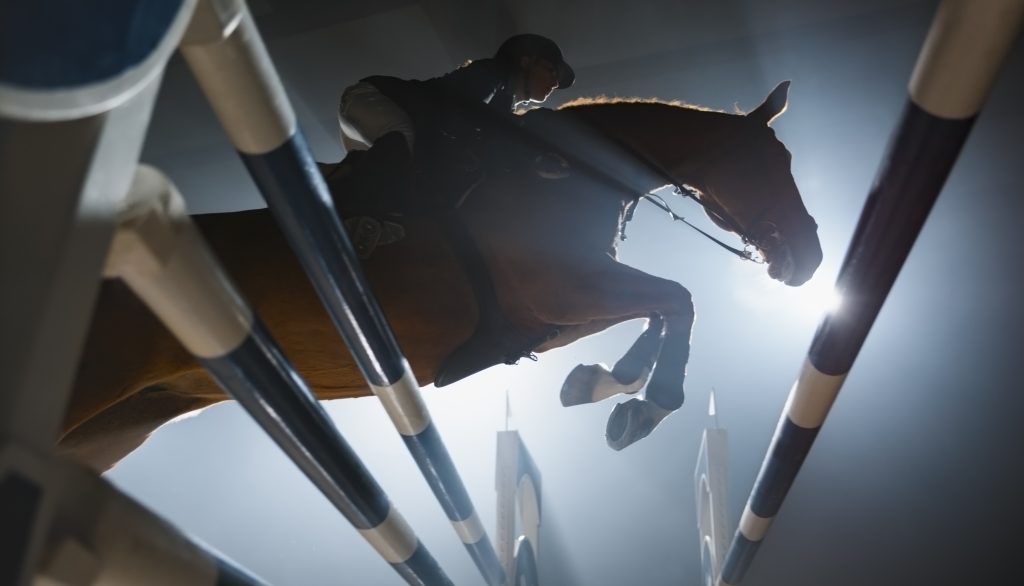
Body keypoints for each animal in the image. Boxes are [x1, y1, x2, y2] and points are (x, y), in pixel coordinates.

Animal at [61, 81, 822, 471]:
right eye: (772, 162)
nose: (810, 260)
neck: (560, 171)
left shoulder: (551, 314)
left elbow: (659, 311)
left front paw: (601, 385)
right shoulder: (564, 284)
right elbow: (678, 299)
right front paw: (641, 408)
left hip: (118, 423)